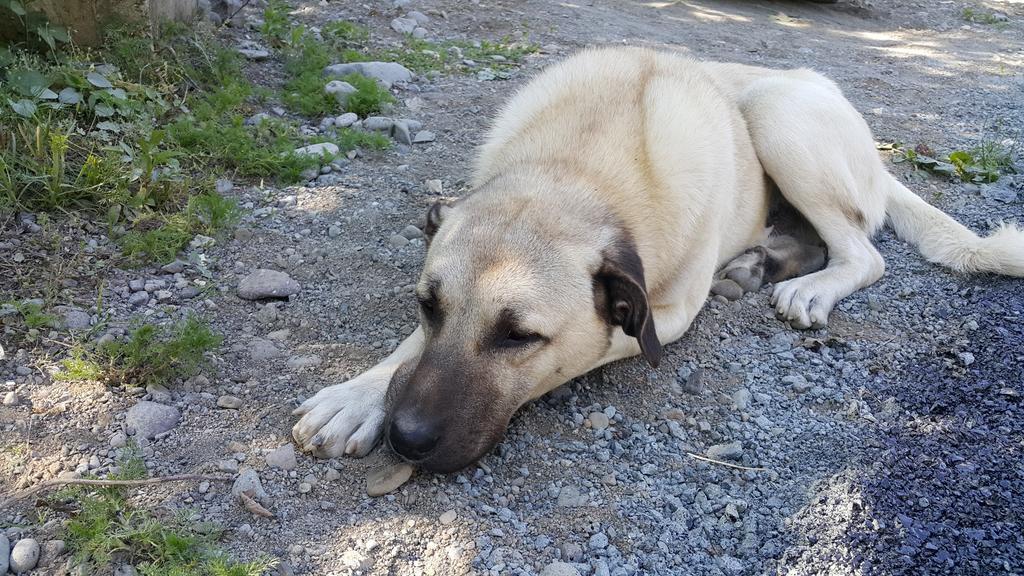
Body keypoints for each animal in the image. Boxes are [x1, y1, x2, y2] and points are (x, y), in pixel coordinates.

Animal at [288, 48, 1024, 471]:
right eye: (427, 305)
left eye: (519, 337)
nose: (406, 438)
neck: (578, 167)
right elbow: (407, 351)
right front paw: (358, 396)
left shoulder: (661, 318)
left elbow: (599, 342)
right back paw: (761, 263)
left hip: (776, 110)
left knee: (864, 253)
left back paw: (810, 286)